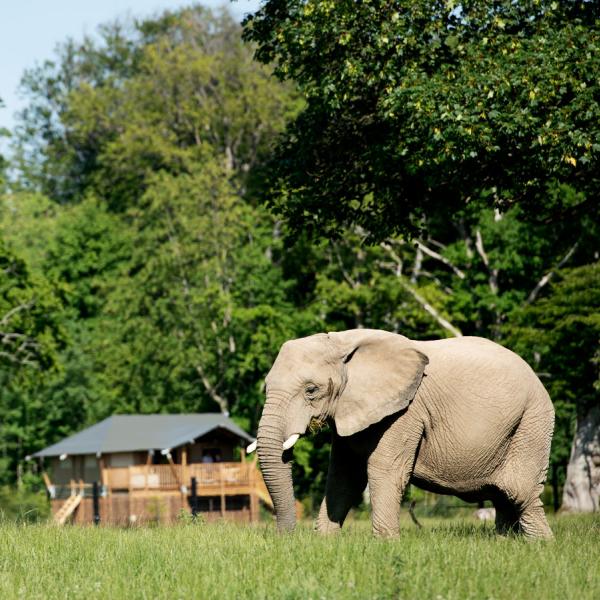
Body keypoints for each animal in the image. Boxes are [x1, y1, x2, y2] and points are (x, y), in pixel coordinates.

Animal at [250, 328, 552, 540]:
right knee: (504, 496)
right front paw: (325, 542)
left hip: (532, 422)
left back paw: (541, 546)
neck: (342, 342)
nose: (286, 538)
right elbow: (344, 476)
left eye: (311, 390)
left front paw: (385, 544)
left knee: (519, 491)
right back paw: (506, 543)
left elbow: (384, 470)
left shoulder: (407, 411)